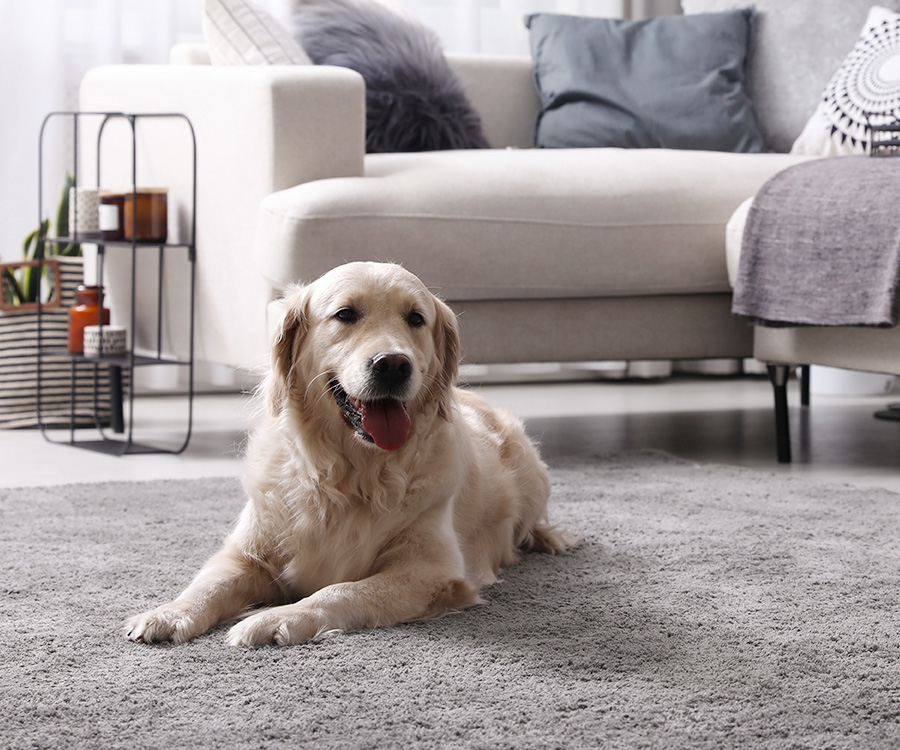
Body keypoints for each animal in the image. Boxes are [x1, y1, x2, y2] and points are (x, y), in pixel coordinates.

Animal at [125, 260, 572, 648]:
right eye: (345, 314)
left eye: (415, 318)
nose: (393, 364)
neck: (350, 472)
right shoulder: (246, 554)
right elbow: (208, 582)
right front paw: (168, 613)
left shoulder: (430, 571)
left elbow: (339, 591)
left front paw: (275, 619)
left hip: (531, 475)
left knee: (532, 521)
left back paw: (549, 538)